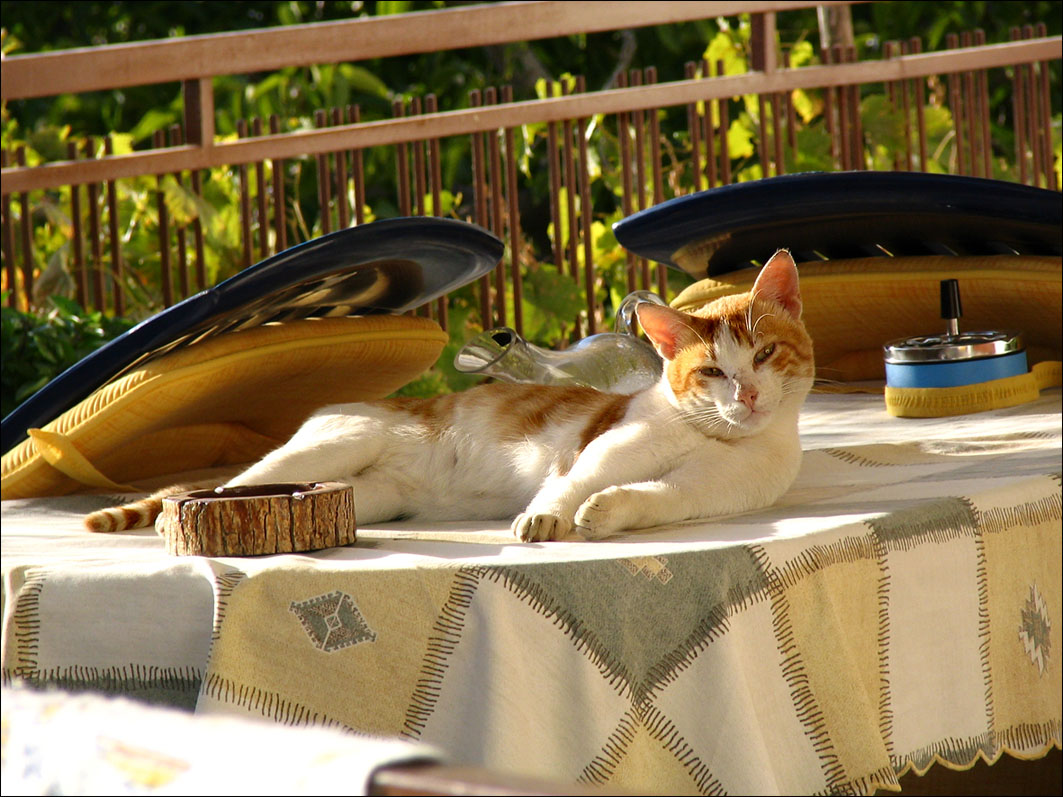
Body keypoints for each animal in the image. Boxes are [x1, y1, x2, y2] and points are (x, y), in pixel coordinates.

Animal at [85, 250, 812, 544]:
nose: (747, 394)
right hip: (329, 446)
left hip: (369, 494)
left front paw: (605, 515)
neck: (711, 437)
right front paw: (544, 519)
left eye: (763, 356)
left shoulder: (708, 491)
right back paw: (171, 518)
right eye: (711, 372)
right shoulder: (607, 448)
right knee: (226, 485)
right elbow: (572, 482)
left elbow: (653, 497)